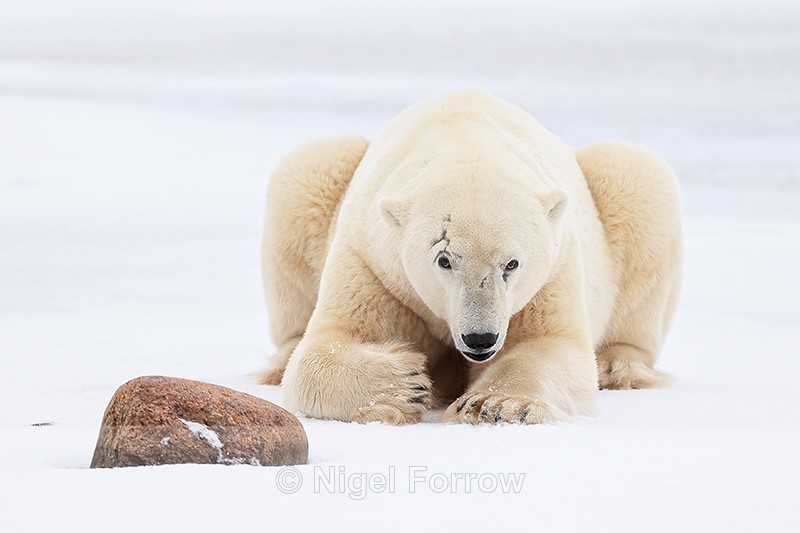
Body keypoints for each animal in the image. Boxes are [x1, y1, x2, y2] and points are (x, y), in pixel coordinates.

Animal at [258, 90, 682, 425]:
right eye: (444, 260)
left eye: (511, 263)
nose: (481, 338)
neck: (462, 139)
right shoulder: (374, 262)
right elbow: (328, 344)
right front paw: (405, 384)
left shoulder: (552, 270)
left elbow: (550, 345)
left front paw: (496, 403)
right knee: (307, 170)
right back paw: (282, 358)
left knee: (636, 174)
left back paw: (617, 365)